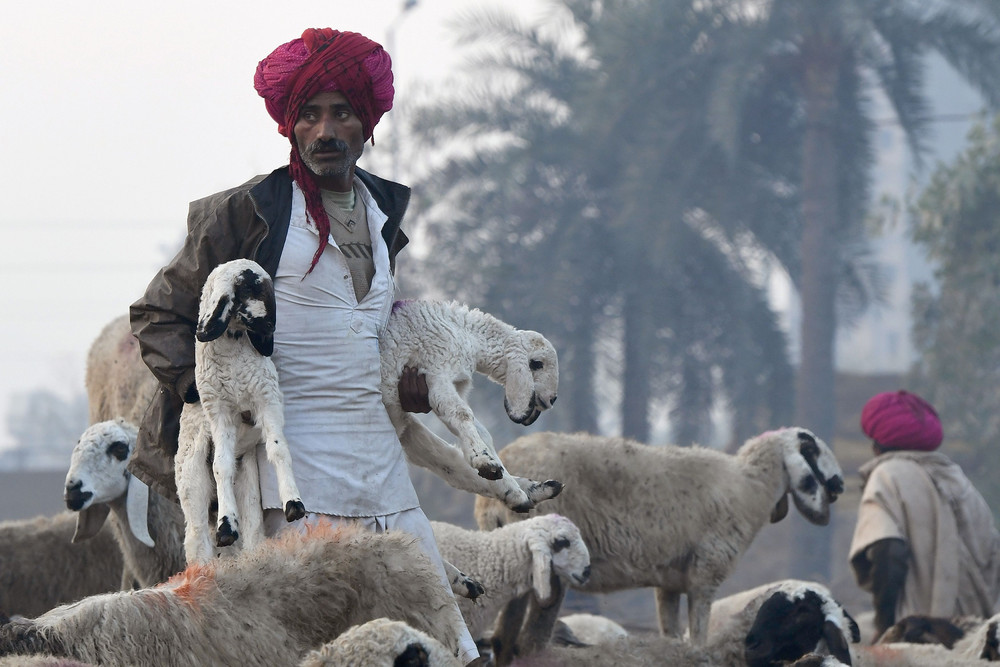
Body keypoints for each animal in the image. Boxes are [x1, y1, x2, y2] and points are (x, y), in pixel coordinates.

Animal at [174, 256, 304, 564]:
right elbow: (221, 465)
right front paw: (226, 527)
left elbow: (279, 450)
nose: (270, 331)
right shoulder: (218, 411)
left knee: (252, 535)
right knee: (198, 543)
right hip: (192, 483)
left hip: (249, 488)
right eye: (249, 287)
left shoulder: (267, 398)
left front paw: (293, 503)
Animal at [380, 300, 564, 516]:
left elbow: (481, 432)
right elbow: (461, 415)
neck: (466, 335)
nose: (552, 399)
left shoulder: (450, 385)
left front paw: (500, 476)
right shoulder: (436, 372)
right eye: (537, 364)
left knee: (445, 459)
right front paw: (484, 461)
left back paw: (528, 491)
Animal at [476, 428, 844, 664]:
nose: (840, 485)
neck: (749, 487)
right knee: (529, 641)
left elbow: (671, 632)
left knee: (504, 640)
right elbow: (698, 638)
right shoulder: (706, 573)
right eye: (813, 450)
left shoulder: (670, 583)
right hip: (555, 566)